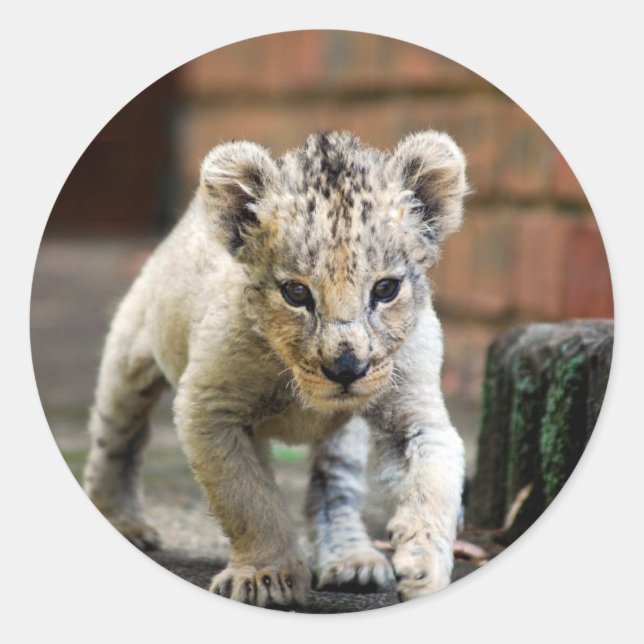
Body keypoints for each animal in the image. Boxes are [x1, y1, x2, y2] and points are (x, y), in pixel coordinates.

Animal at [83, 129, 468, 607]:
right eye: (296, 293)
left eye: (385, 289)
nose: (346, 368)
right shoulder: (210, 409)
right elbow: (249, 500)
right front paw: (266, 577)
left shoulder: (414, 413)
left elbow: (432, 485)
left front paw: (424, 569)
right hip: (130, 358)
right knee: (116, 439)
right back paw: (123, 522)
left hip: (344, 437)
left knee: (335, 484)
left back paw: (352, 561)